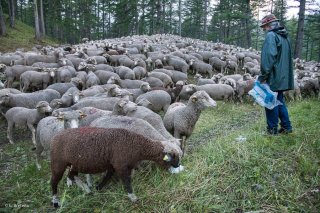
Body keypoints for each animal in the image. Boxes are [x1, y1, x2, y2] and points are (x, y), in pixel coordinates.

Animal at [48, 126, 181, 206]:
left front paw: (98, 188)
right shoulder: (120, 165)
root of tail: (55, 137)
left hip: (76, 163)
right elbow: (126, 181)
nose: (178, 165)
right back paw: (55, 202)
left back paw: (87, 190)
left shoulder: (116, 165)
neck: (138, 146)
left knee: (72, 175)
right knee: (54, 181)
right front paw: (133, 198)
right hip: (58, 162)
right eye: (173, 157)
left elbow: (108, 177)